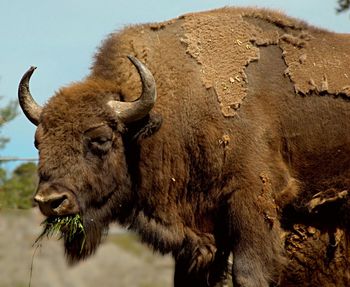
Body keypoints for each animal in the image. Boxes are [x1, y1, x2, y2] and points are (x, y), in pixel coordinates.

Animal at [18, 6, 350, 287]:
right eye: (38, 142)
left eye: (100, 139)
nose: (50, 200)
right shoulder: (202, 235)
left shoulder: (253, 201)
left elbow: (248, 273)